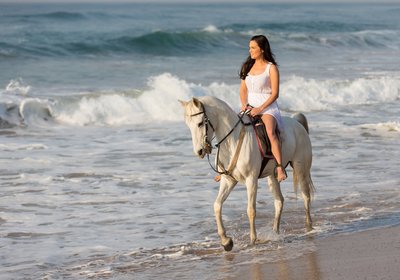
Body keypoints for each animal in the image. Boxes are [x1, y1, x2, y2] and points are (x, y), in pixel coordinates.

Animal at [180, 96, 314, 252]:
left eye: (200, 123)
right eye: (188, 125)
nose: (199, 151)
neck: (233, 140)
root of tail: (297, 123)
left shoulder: (251, 180)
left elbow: (251, 210)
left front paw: (252, 240)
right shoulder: (228, 181)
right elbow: (217, 205)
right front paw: (226, 241)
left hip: (301, 169)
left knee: (306, 196)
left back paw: (309, 227)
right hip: (272, 176)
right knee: (279, 201)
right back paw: (275, 232)